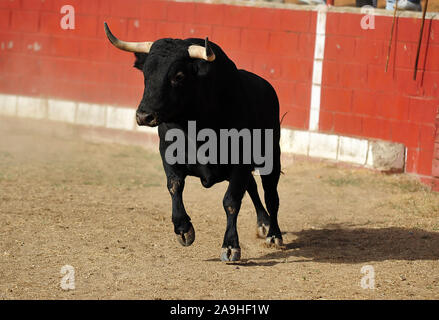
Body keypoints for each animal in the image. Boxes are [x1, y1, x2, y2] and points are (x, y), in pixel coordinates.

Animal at [105, 23, 284, 262]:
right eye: (146, 74)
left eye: (179, 75)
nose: (144, 116)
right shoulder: (168, 154)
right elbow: (174, 186)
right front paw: (183, 229)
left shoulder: (241, 161)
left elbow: (231, 201)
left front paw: (230, 246)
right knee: (253, 187)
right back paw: (263, 223)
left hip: (272, 156)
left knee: (271, 195)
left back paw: (273, 233)